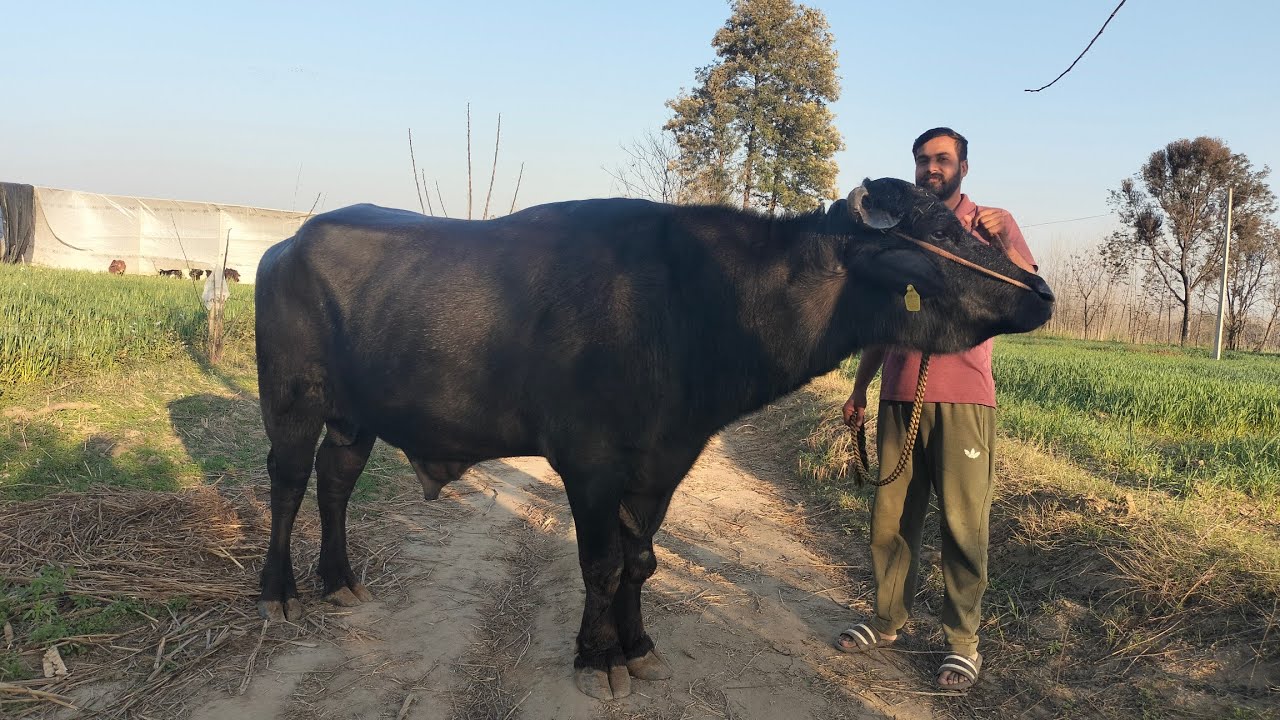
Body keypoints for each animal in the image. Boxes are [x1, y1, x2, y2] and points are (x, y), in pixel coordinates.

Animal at [252, 177, 1054, 701]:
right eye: (943, 233)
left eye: (964, 224)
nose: (1041, 291)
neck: (698, 303)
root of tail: (286, 245)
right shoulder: (589, 466)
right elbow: (602, 565)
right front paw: (597, 657)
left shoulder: (663, 465)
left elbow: (641, 563)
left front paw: (637, 646)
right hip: (292, 400)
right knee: (288, 483)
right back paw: (279, 590)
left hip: (355, 417)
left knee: (335, 480)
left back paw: (340, 580)